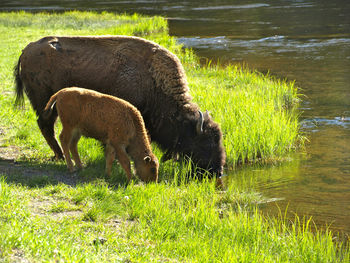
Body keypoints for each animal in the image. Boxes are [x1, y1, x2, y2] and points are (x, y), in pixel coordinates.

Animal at [13, 35, 226, 177]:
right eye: (206, 142)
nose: (218, 170)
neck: (153, 82)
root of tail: (26, 50)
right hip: (45, 103)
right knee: (46, 126)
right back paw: (59, 156)